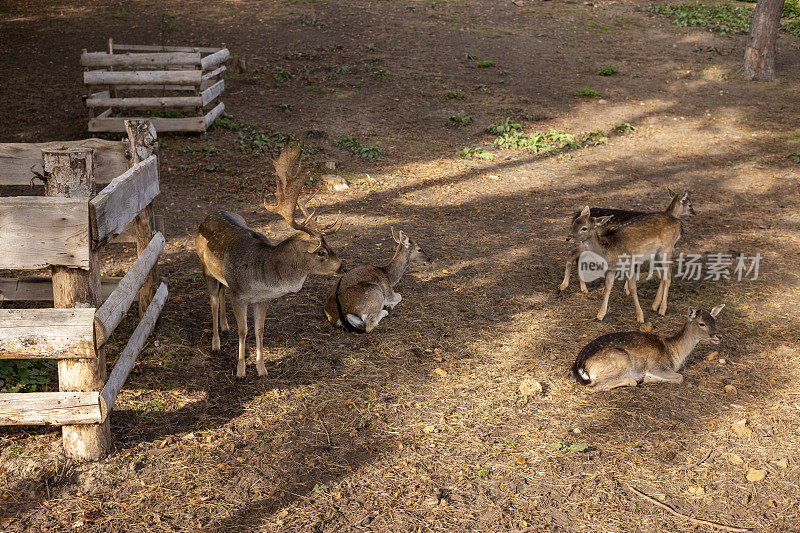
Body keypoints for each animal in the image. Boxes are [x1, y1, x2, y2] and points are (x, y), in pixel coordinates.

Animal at [196, 141, 344, 378]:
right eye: (320, 252)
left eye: (330, 246)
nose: (342, 266)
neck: (261, 277)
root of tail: (207, 216)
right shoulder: (239, 295)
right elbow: (243, 330)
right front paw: (240, 370)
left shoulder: (263, 299)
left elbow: (259, 330)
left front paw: (262, 368)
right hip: (205, 268)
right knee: (213, 301)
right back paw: (216, 344)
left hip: (222, 277)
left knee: (221, 291)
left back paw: (225, 327)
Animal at [556, 189, 692, 294]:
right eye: (690, 204)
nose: (694, 212)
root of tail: (575, 215)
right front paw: (627, 289)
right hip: (583, 243)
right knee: (572, 254)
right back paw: (565, 286)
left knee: (577, 257)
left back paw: (582, 288)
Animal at [568, 304, 724, 390]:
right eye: (702, 324)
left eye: (714, 321)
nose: (719, 336)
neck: (673, 354)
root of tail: (579, 367)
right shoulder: (657, 366)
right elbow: (680, 377)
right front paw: (646, 379)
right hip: (620, 359)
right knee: (594, 386)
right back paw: (634, 380)